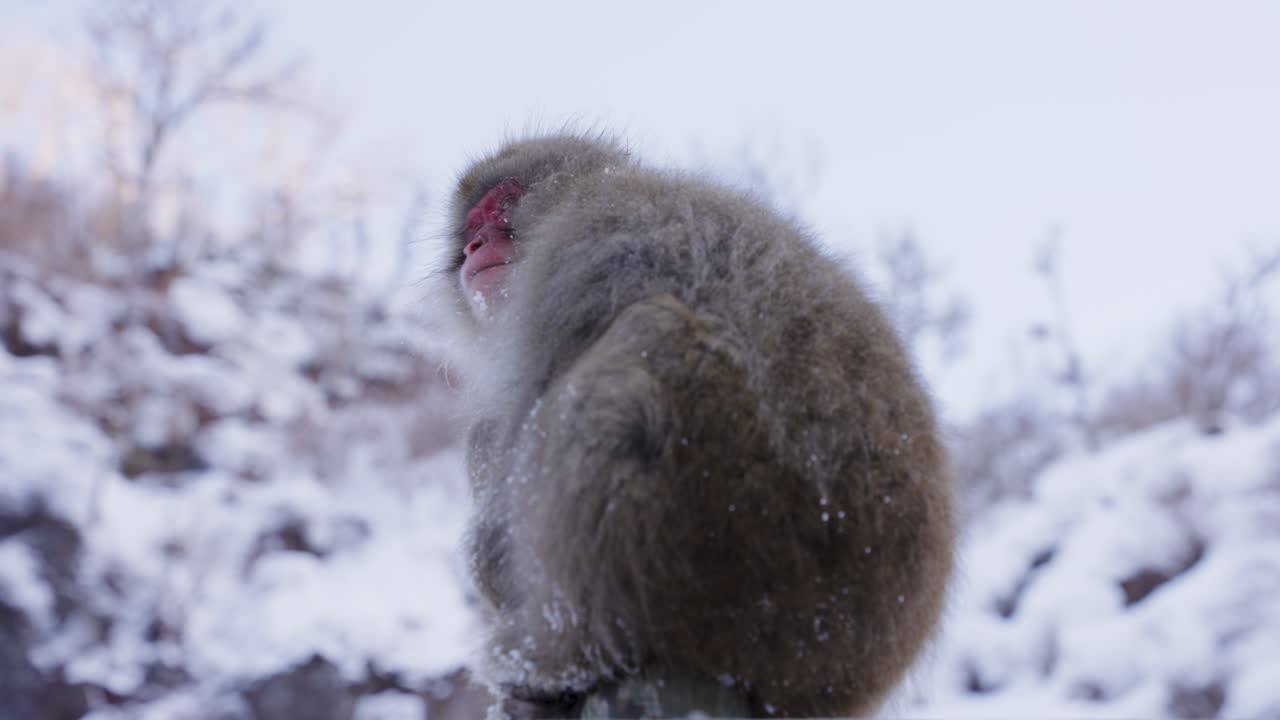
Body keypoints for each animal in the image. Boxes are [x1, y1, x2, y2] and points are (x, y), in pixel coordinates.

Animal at [443, 132, 954, 719]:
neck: (580, 196)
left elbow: (500, 529)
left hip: (735, 548)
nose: (473, 247)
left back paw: (567, 654)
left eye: (497, 209)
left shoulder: (583, 253)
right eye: (468, 229)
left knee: (649, 334)